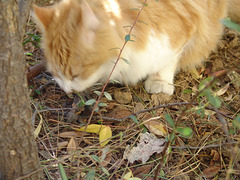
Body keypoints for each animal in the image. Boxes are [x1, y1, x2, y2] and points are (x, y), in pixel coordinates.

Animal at [32, 0, 239, 95]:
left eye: (75, 75)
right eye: (55, 74)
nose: (67, 91)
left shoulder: (182, 31)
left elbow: (168, 62)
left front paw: (160, 82)